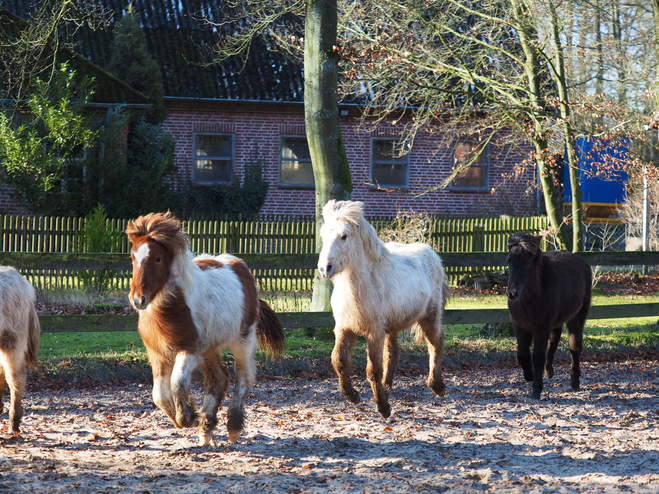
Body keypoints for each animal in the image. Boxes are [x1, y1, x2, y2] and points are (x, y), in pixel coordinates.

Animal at [127, 212, 284, 444]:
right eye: (133, 257)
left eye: (158, 258)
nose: (138, 300)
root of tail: (240, 265)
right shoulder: (157, 354)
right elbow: (159, 396)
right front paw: (188, 418)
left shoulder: (190, 349)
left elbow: (177, 382)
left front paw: (189, 418)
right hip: (209, 348)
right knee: (219, 379)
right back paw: (206, 429)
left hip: (242, 339)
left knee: (243, 378)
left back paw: (233, 427)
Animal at [318, 200, 452, 416]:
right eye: (323, 235)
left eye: (344, 236)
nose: (324, 268)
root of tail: (432, 255)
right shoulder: (344, 328)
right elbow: (339, 361)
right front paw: (353, 396)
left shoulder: (374, 333)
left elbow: (373, 370)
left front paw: (382, 407)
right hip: (392, 327)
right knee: (393, 354)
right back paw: (388, 388)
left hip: (430, 317)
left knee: (436, 344)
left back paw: (437, 386)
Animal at [506, 233, 592, 400]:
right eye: (509, 262)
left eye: (527, 263)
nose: (512, 293)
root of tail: (583, 261)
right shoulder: (520, 326)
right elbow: (522, 354)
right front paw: (529, 375)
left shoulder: (542, 327)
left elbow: (538, 356)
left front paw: (536, 389)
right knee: (555, 338)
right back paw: (549, 370)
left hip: (577, 317)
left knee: (575, 346)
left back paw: (574, 381)